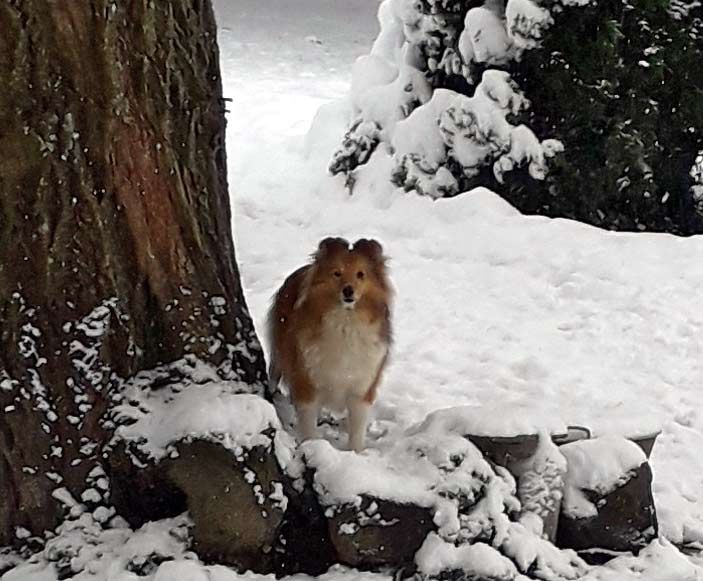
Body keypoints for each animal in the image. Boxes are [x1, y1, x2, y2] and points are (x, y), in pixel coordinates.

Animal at [268, 238, 394, 450]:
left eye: (361, 274)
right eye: (337, 273)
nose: (348, 290)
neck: (345, 322)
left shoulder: (361, 387)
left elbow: (357, 429)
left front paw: (355, 453)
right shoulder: (307, 382)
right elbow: (309, 424)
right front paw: (312, 446)